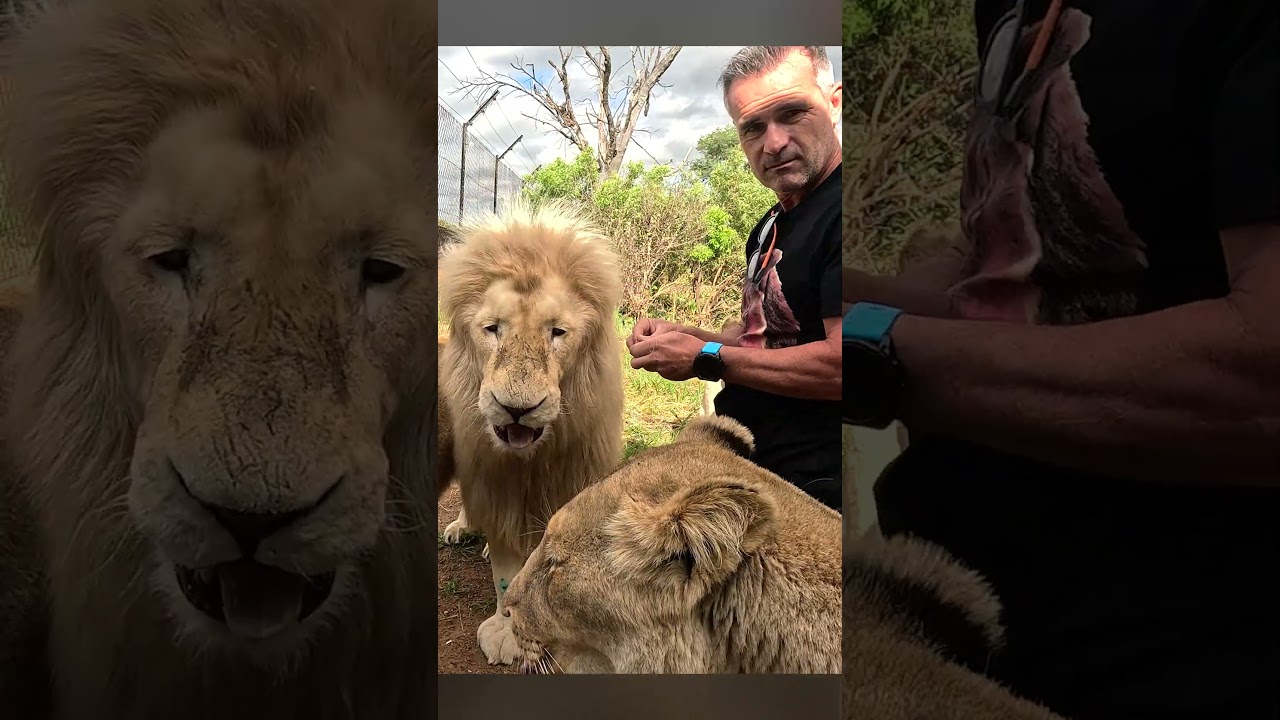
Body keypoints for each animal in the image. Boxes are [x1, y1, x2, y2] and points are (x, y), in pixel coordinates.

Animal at [437, 199, 625, 666]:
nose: (517, 409)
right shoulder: (494, 482)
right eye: (492, 328)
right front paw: (508, 630)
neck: (531, 461)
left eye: (557, 331)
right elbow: (507, 571)